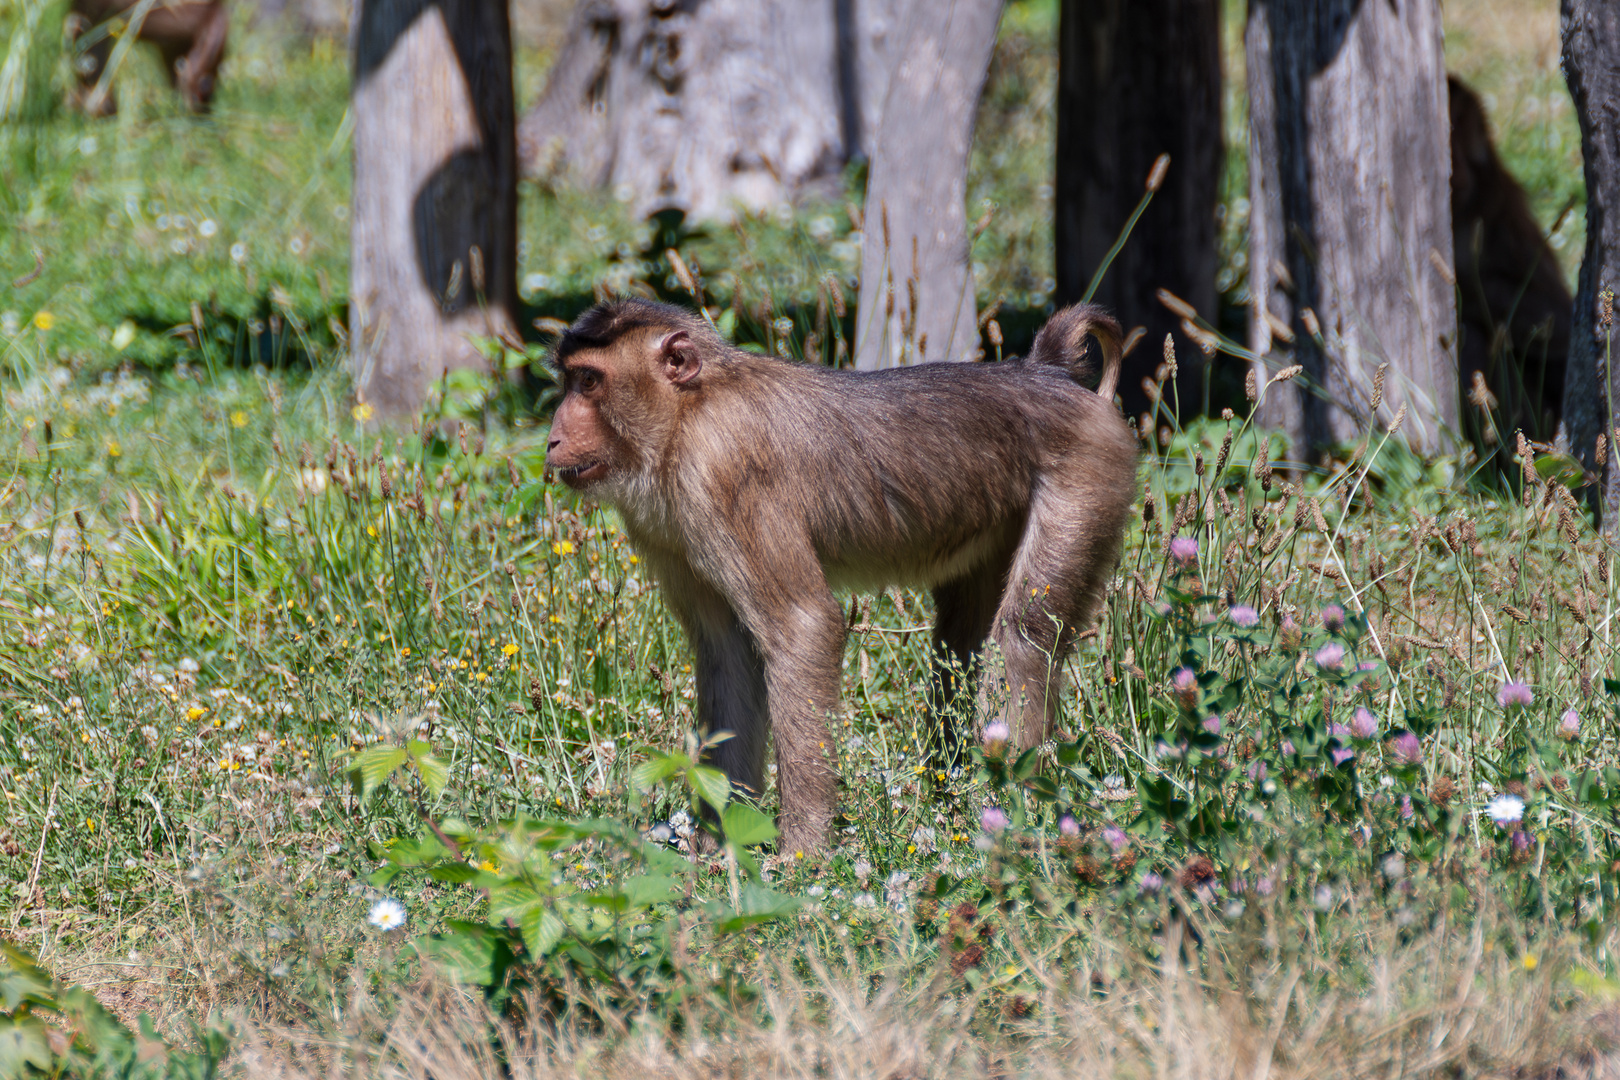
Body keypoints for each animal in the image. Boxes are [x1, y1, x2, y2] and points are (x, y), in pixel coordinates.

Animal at [550, 299, 1134, 854]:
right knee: (960, 642)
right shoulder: (668, 525)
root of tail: (1048, 374)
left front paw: (802, 851)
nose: (553, 437)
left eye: (589, 381)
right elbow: (727, 650)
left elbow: (803, 626)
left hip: (1087, 474)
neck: (686, 414)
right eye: (569, 379)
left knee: (1023, 637)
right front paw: (718, 840)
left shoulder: (721, 470)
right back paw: (949, 801)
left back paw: (1007, 813)